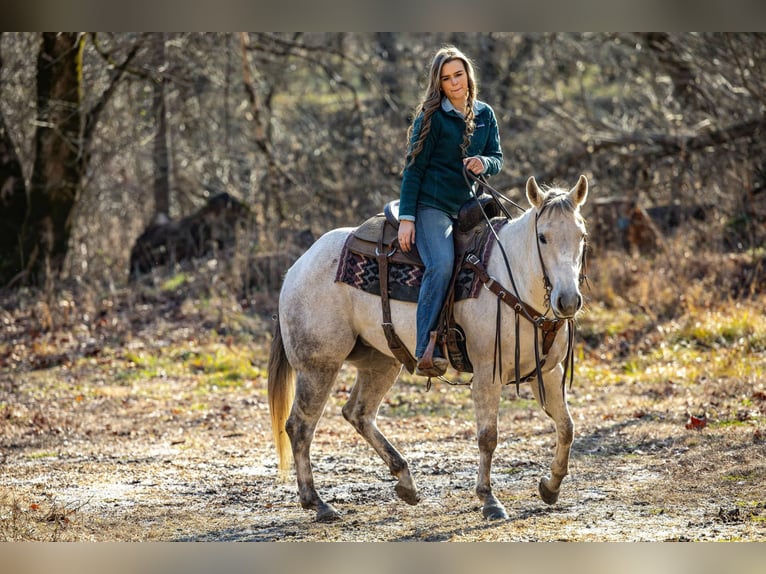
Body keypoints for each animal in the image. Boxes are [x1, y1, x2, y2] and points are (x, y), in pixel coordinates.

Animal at [268, 174, 592, 520]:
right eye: (543, 237)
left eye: (581, 236)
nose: (567, 301)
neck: (511, 278)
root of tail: (297, 268)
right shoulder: (487, 374)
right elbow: (488, 437)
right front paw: (489, 500)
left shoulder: (549, 372)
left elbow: (567, 427)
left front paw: (550, 486)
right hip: (319, 366)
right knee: (300, 427)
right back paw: (317, 502)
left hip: (381, 362)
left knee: (358, 413)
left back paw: (405, 482)